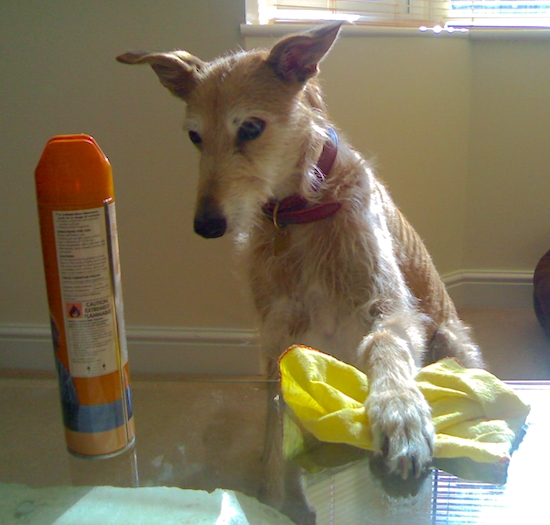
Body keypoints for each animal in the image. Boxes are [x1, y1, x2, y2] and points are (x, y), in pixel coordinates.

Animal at [116, 20, 484, 520]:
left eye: (250, 127)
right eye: (194, 136)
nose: (206, 225)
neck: (298, 211)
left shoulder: (387, 309)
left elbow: (385, 345)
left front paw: (401, 415)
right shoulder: (277, 335)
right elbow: (276, 423)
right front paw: (272, 495)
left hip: (448, 339)